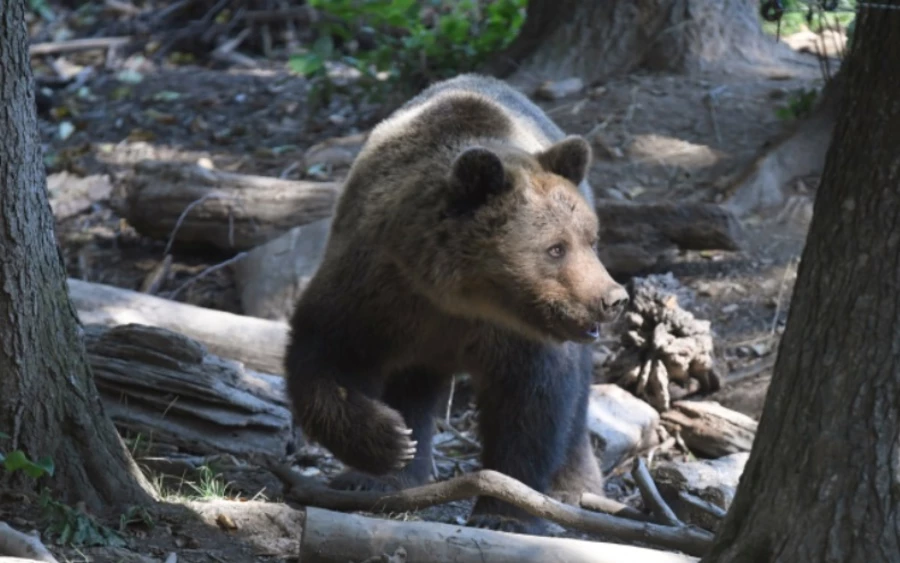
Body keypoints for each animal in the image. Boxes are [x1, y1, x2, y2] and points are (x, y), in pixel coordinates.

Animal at [284, 71, 628, 532]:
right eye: (555, 248)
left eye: (590, 239)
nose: (612, 298)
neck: (458, 295)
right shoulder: (375, 291)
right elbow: (324, 355)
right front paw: (390, 443)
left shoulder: (518, 337)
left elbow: (531, 405)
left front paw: (505, 512)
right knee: (411, 384)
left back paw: (575, 485)